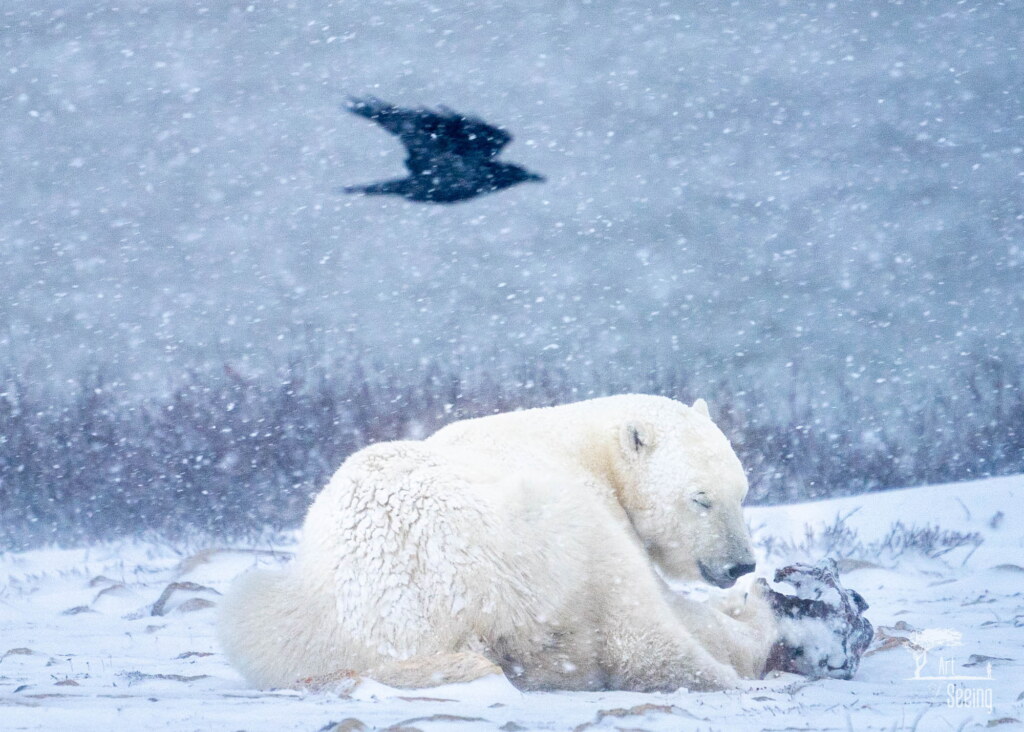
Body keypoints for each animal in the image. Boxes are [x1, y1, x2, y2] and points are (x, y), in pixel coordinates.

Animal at [218, 394, 781, 692]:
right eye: (700, 499)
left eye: (742, 492)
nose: (740, 565)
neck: (579, 440)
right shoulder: (597, 501)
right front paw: (741, 606)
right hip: (538, 535)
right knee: (635, 624)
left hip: (290, 618)